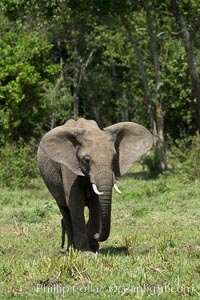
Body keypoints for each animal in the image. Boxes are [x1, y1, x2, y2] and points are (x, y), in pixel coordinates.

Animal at [37, 118, 153, 254]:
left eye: (115, 158)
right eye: (86, 159)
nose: (96, 235)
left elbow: (96, 203)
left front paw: (93, 247)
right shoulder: (69, 166)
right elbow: (75, 202)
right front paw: (86, 253)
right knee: (65, 211)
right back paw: (71, 249)